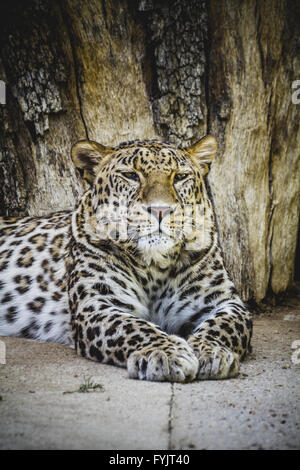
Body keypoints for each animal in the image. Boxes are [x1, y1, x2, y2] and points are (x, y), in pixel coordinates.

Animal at [0, 136, 253, 382]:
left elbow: (224, 325)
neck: (155, 266)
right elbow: (133, 326)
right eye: (131, 175)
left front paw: (211, 351)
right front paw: (165, 353)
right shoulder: (97, 304)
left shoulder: (223, 302)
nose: (160, 210)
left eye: (180, 177)